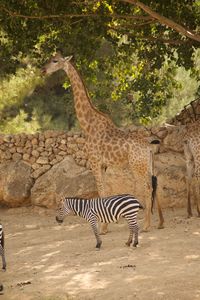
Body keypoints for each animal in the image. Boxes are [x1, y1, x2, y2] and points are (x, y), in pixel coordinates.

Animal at [41, 52, 164, 232]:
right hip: (147, 166)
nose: (43, 70)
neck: (87, 124)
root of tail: (148, 147)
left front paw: (103, 227)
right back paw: (161, 223)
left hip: (136, 167)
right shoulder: (104, 165)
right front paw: (107, 223)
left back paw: (146, 225)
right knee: (155, 185)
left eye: (55, 61)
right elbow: (105, 191)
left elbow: (100, 190)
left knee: (147, 188)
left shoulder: (95, 161)